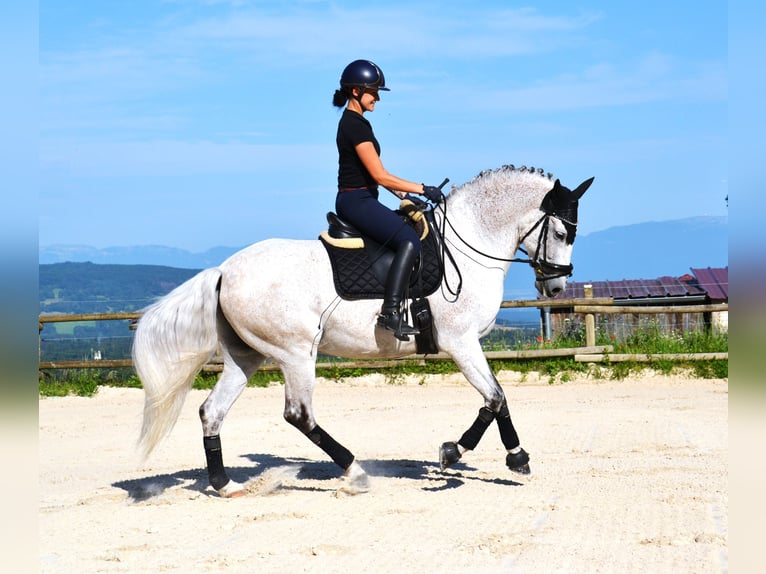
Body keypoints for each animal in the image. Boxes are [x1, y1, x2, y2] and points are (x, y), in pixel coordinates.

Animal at [135, 164, 596, 498]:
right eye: (560, 232)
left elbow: (491, 399)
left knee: (211, 411)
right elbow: (496, 395)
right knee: (298, 415)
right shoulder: (461, 342)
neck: (469, 245)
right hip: (296, 353)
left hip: (245, 356)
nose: (556, 287)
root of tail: (224, 270)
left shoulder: (465, 346)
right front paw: (512, 456)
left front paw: (454, 452)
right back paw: (354, 472)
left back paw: (225, 485)